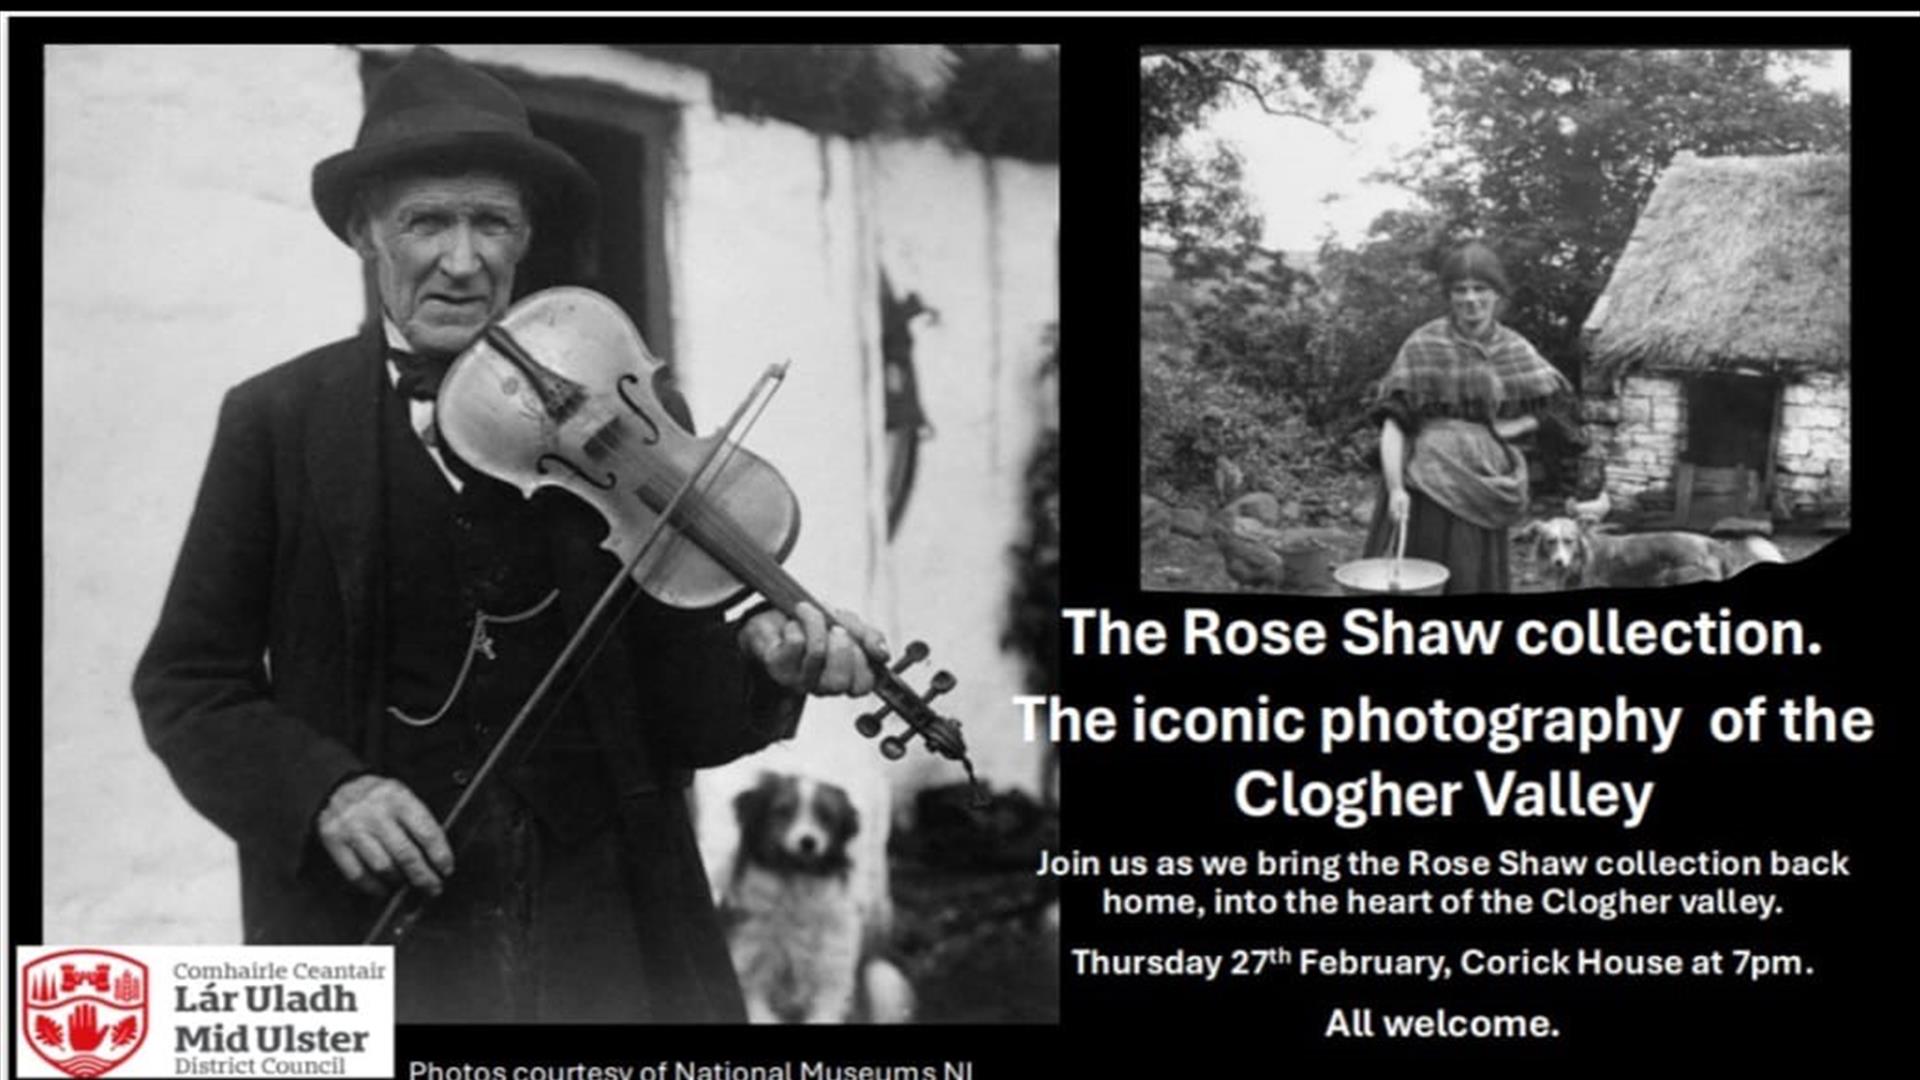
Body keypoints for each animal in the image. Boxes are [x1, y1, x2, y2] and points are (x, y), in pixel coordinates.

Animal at [725, 764, 921, 1014]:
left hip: (884, 980)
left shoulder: (833, 984)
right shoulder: (749, 979)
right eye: (783, 811)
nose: (808, 842)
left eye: (826, 817)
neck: (795, 890)